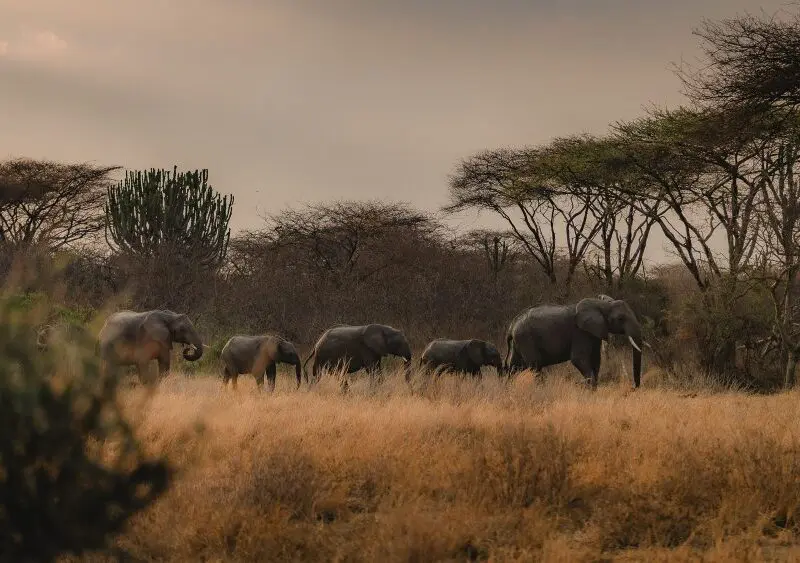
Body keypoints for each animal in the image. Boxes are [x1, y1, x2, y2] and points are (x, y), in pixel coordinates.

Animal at [504, 296, 643, 389]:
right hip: (526, 339)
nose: (633, 387)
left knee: (515, 367)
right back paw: (541, 389)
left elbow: (596, 360)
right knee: (535, 365)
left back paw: (507, 390)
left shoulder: (594, 332)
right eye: (621, 318)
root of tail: (511, 326)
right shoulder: (580, 333)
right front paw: (591, 389)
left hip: (520, 341)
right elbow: (578, 359)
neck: (601, 304)